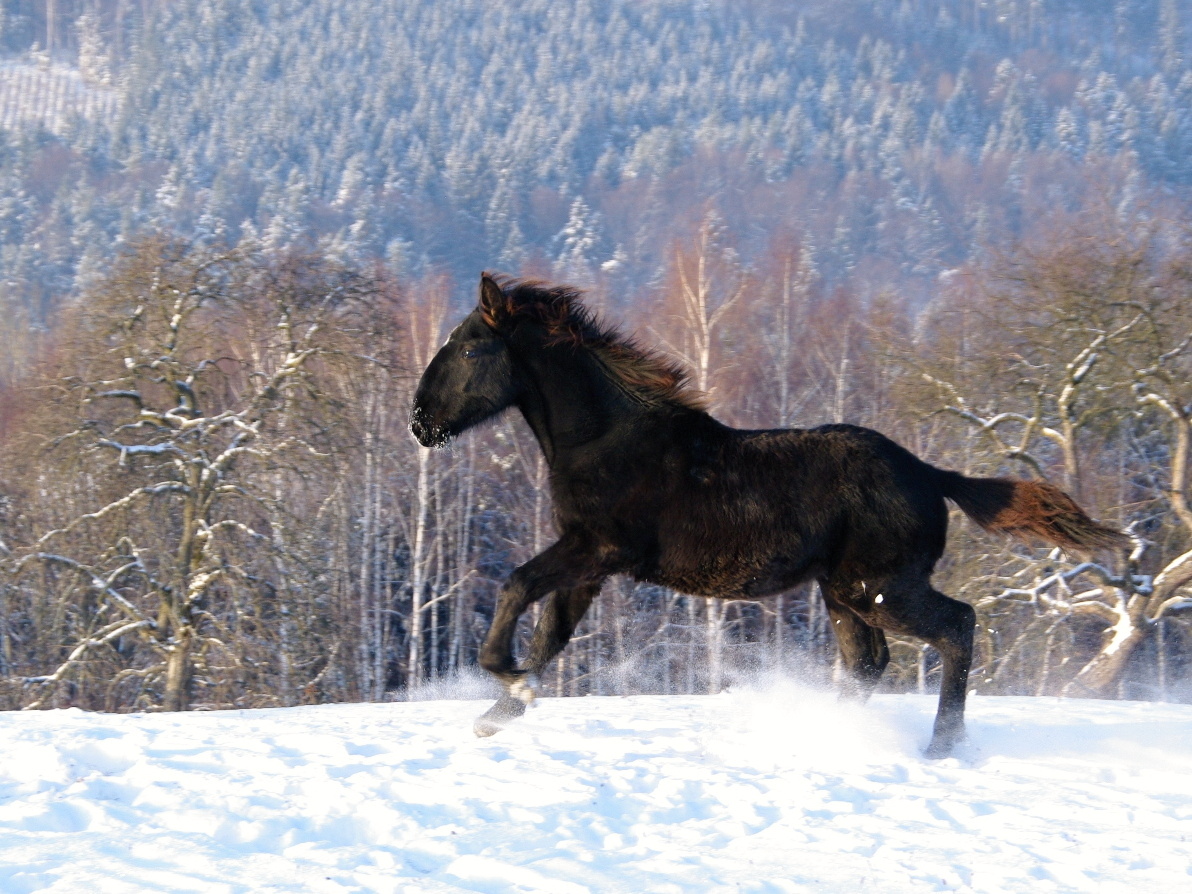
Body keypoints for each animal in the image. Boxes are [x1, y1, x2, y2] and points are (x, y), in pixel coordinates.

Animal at [412, 272, 1125, 758]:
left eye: (470, 349)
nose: (421, 422)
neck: (608, 439)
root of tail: (930, 475)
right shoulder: (590, 564)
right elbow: (550, 633)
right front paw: (504, 708)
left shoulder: (599, 549)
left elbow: (517, 587)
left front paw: (504, 677)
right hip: (843, 592)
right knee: (868, 662)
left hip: (883, 588)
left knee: (958, 627)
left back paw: (939, 747)